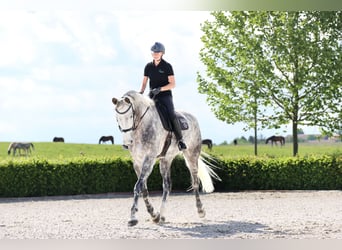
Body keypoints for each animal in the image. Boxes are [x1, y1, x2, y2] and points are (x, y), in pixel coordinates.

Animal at [111, 90, 220, 227]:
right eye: (117, 118)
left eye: (131, 116)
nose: (127, 143)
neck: (141, 126)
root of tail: (192, 117)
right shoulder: (137, 161)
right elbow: (143, 188)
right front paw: (153, 214)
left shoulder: (149, 159)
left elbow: (138, 187)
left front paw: (133, 217)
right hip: (166, 159)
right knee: (167, 185)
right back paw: (161, 216)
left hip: (191, 155)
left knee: (195, 182)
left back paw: (200, 210)